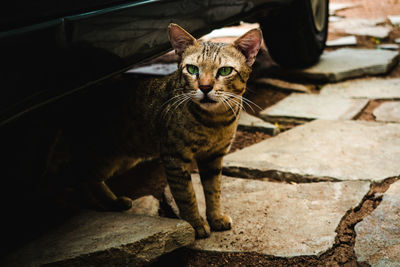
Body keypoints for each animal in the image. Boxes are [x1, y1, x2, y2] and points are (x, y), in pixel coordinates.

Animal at [47, 23, 262, 239]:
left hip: (123, 157)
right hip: (103, 154)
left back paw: (112, 203)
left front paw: (215, 217)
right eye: (192, 69)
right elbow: (186, 195)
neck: (215, 121)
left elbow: (213, 191)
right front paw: (196, 224)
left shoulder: (214, 157)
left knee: (86, 178)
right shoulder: (174, 157)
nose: (205, 87)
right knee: (80, 177)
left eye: (225, 71)